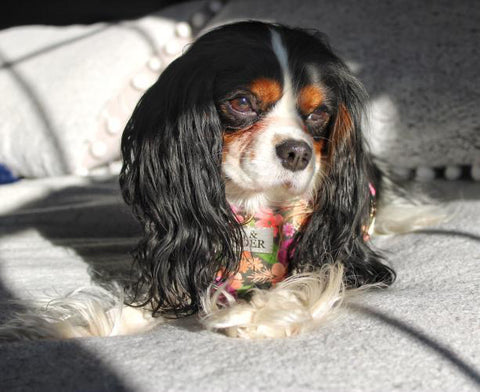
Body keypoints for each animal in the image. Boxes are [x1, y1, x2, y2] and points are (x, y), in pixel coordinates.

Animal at [0, 21, 438, 340]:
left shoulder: (347, 261)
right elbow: (147, 302)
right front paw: (80, 325)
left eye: (318, 115)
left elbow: (313, 277)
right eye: (241, 102)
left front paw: (254, 313)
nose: (298, 152)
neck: (255, 208)